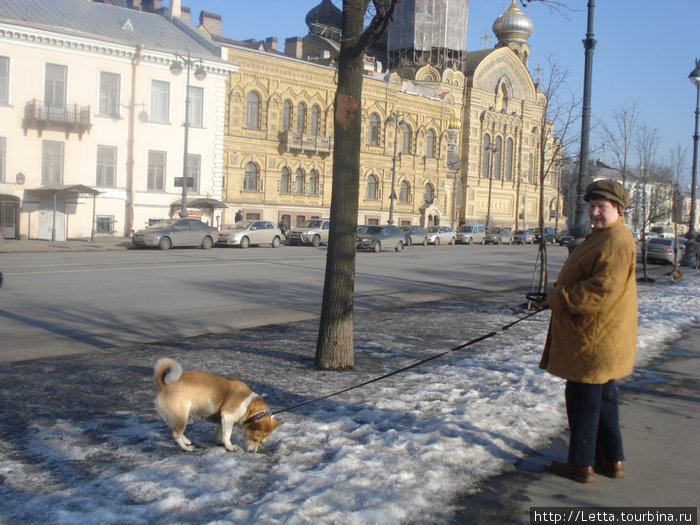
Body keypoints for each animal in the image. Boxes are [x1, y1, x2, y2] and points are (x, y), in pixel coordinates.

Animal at [154, 358, 284, 452]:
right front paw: (230, 447)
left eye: (261, 442)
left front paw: (221, 443)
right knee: (176, 434)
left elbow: (221, 433)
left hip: (180, 417)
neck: (249, 405)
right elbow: (227, 434)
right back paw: (187, 448)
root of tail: (163, 385)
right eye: (255, 439)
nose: (252, 452)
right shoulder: (227, 416)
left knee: (177, 431)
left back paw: (186, 441)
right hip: (181, 416)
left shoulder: (223, 419)